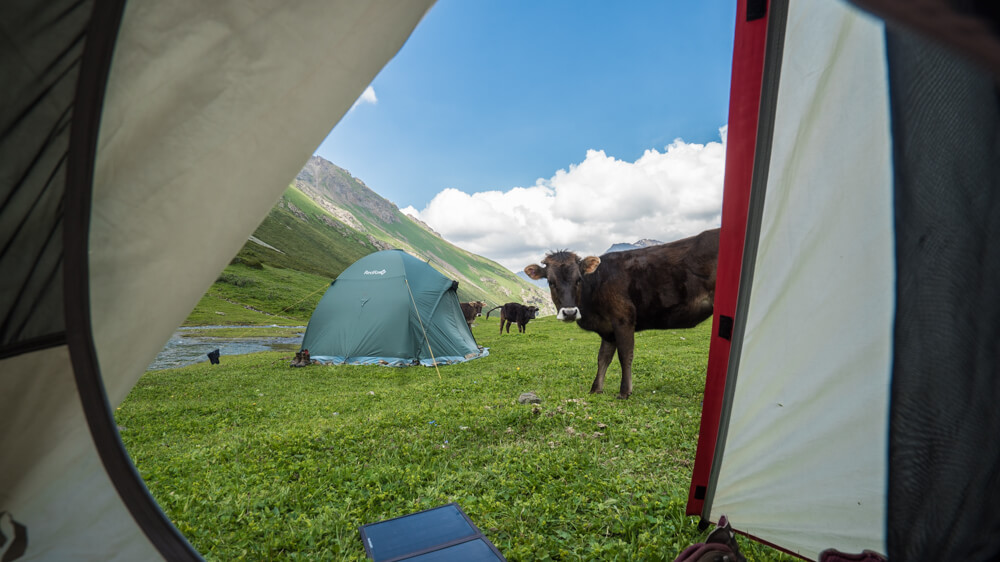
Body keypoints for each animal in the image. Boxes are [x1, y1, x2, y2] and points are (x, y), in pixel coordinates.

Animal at [524, 228, 720, 398]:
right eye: (550, 282)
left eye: (579, 279)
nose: (570, 312)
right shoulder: (608, 329)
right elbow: (602, 358)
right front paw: (595, 389)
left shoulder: (623, 319)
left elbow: (625, 355)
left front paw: (625, 392)